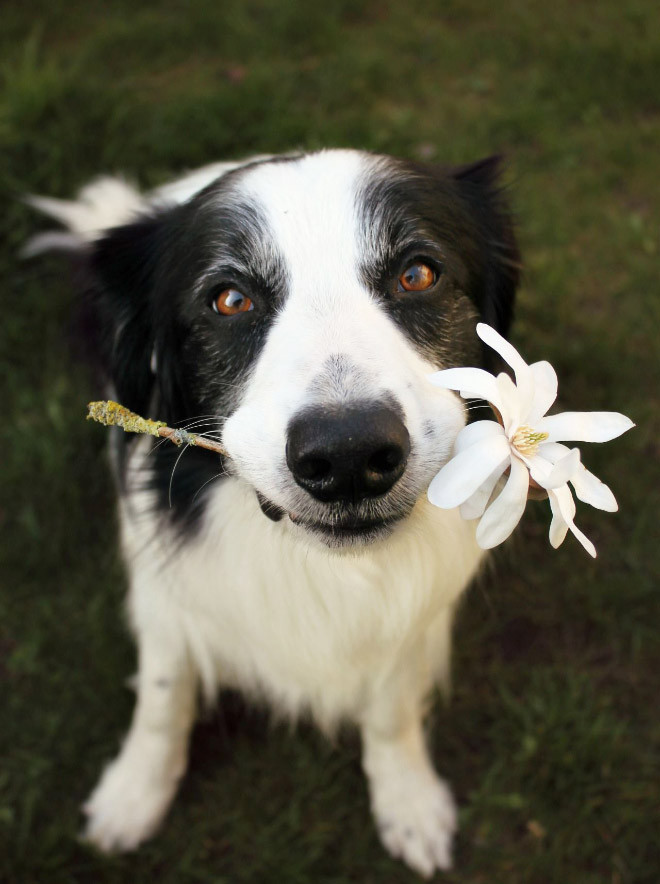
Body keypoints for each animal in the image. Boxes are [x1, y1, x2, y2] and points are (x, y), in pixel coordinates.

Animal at [27, 152, 520, 876]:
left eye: (419, 274)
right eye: (229, 299)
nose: (348, 455)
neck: (316, 566)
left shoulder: (411, 616)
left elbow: (392, 709)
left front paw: (408, 800)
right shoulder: (166, 598)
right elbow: (163, 696)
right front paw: (132, 795)